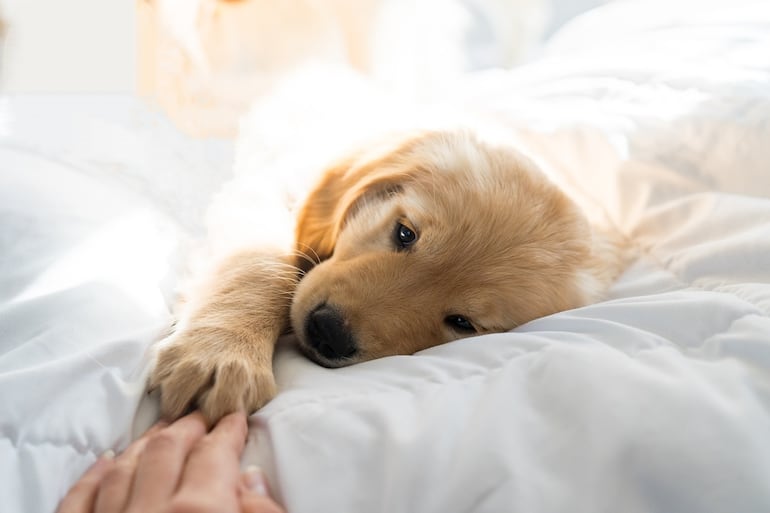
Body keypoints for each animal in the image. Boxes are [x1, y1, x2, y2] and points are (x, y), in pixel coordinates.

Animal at [148, 129, 624, 424]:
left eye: (462, 323)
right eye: (404, 233)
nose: (327, 332)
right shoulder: (269, 192)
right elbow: (259, 265)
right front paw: (223, 354)